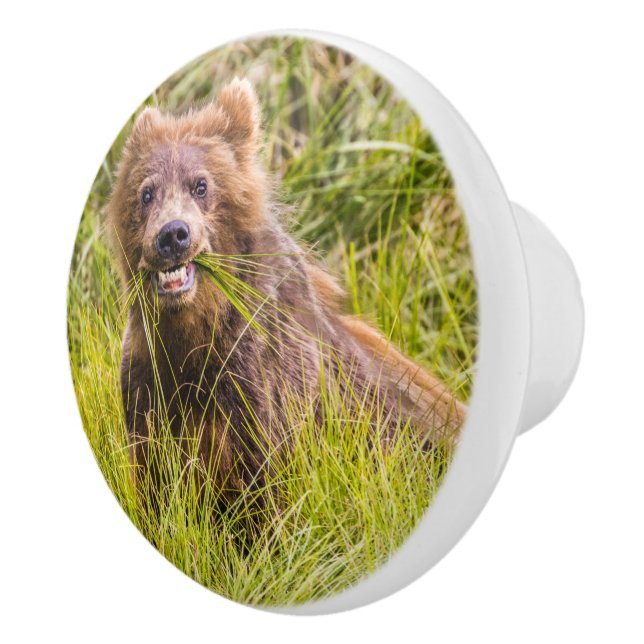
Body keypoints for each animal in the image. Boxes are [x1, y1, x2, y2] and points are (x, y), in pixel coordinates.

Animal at [106, 78, 465, 506]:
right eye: (146, 192)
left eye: (201, 185)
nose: (172, 235)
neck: (194, 332)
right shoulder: (149, 381)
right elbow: (155, 485)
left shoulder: (261, 383)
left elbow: (270, 486)